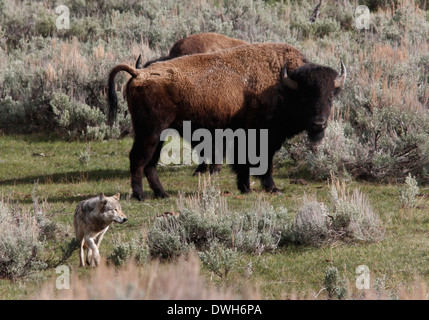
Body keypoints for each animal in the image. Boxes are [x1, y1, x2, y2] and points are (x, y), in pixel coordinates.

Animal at [107, 43, 344, 200]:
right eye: (305, 96)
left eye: (330, 96)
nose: (319, 123)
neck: (284, 85)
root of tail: (139, 73)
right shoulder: (262, 138)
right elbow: (262, 163)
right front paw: (271, 188)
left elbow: (245, 164)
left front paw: (246, 187)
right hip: (149, 132)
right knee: (138, 160)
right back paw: (140, 195)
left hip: (159, 134)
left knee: (150, 163)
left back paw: (163, 194)